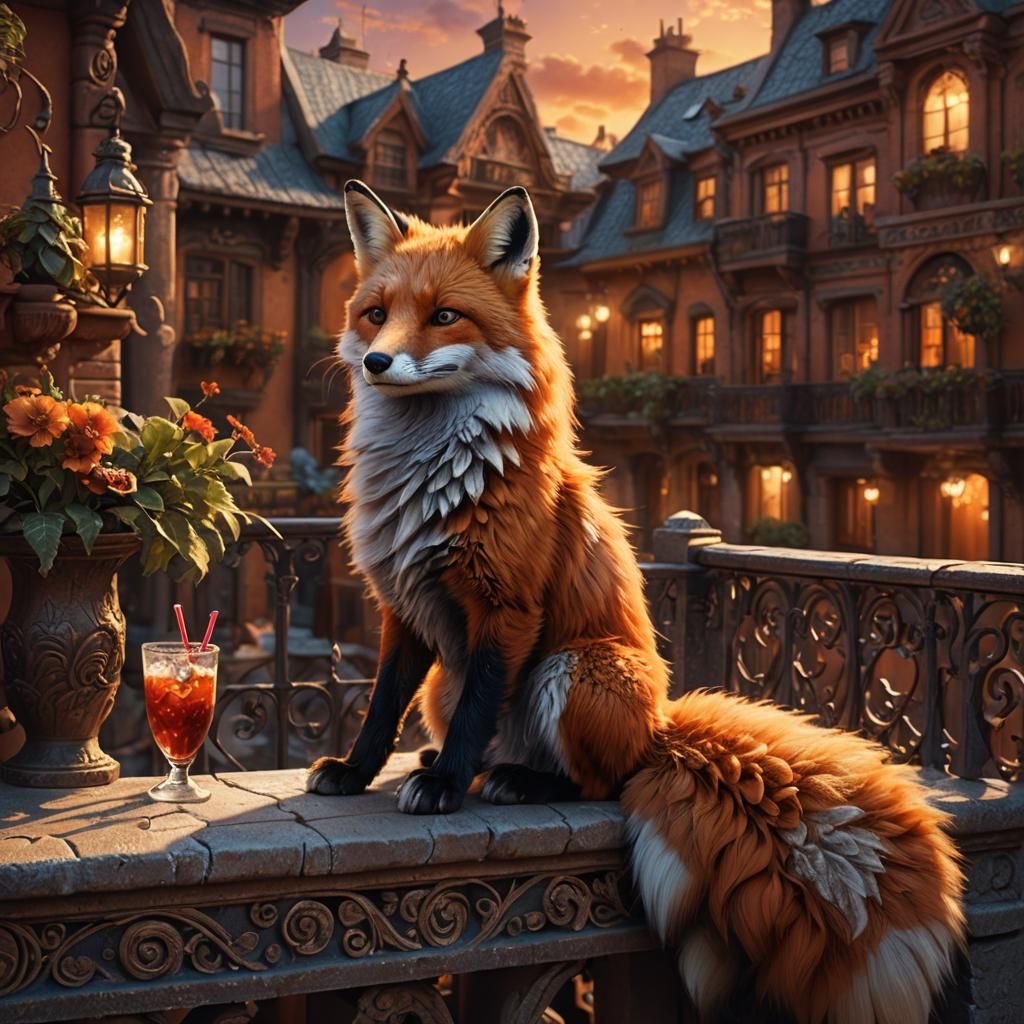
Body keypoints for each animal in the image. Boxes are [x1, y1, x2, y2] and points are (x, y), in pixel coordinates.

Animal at [307, 179, 965, 1024]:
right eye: (375, 313)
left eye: (445, 316)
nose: (379, 360)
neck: (432, 476)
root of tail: (661, 729)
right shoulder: (405, 609)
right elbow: (379, 706)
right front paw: (359, 770)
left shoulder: (506, 607)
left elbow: (485, 702)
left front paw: (449, 787)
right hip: (445, 685)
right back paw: (462, 761)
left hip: (576, 667)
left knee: (601, 782)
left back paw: (513, 779)